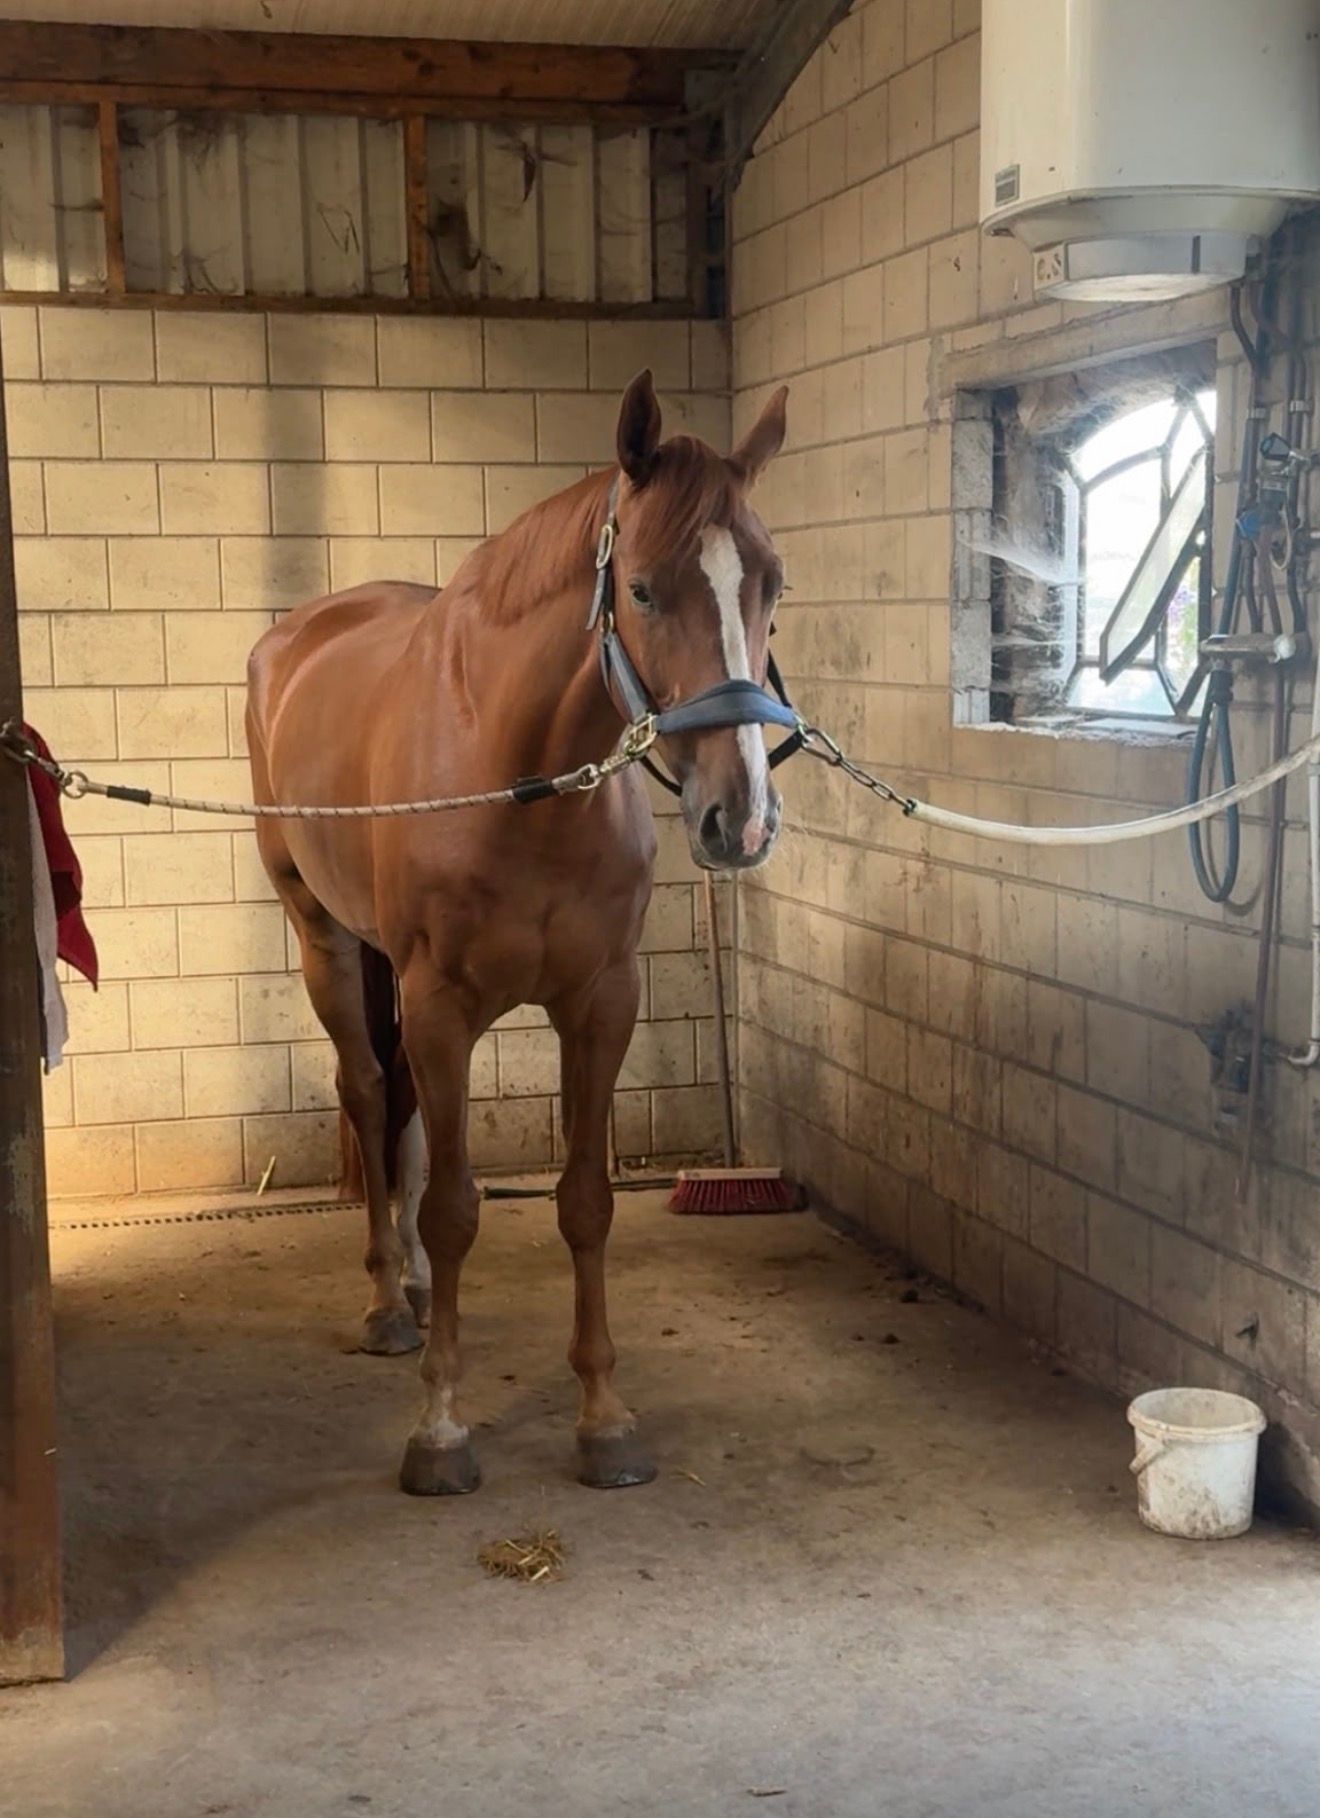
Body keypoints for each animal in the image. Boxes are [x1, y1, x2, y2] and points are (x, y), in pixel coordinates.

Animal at [245, 371, 792, 1495]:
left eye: (774, 586)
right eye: (642, 591)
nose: (742, 817)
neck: (516, 771)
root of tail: (293, 639)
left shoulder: (600, 1002)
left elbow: (584, 1202)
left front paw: (604, 1420)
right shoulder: (442, 1005)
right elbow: (457, 1208)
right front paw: (441, 1430)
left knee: (404, 1113)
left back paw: (412, 1285)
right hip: (325, 938)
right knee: (369, 1093)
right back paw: (386, 1301)